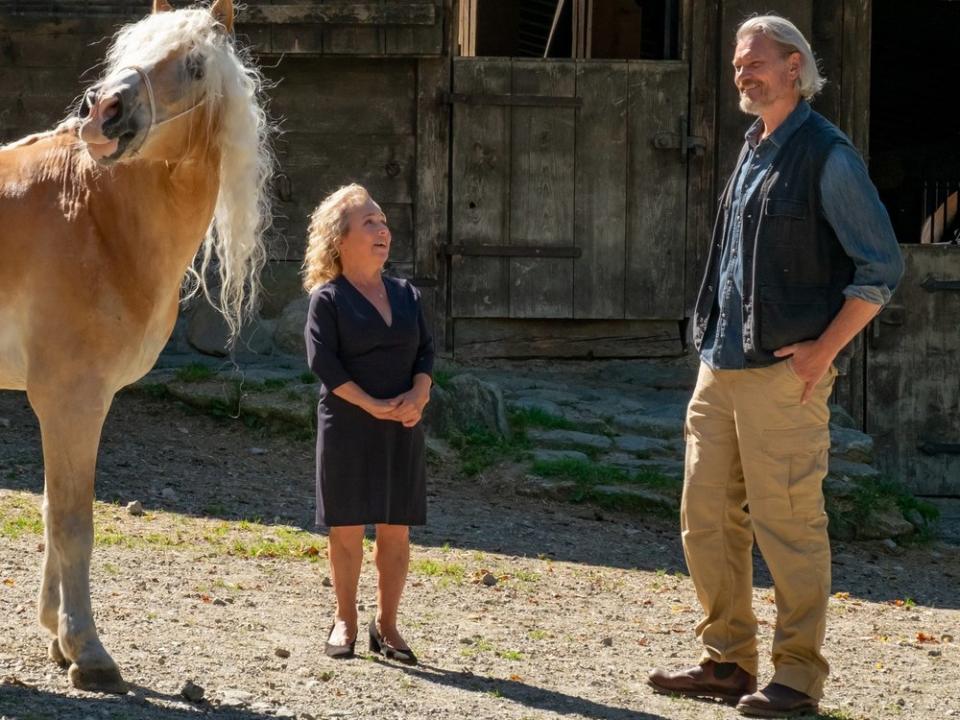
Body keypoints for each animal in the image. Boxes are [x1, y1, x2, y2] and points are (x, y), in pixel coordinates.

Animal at [0, 1, 274, 696]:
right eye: (128, 51)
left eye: (195, 65)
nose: (104, 110)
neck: (95, 217)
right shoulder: (70, 401)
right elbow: (73, 523)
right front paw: (88, 651)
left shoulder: (69, 407)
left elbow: (54, 510)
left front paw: (57, 636)